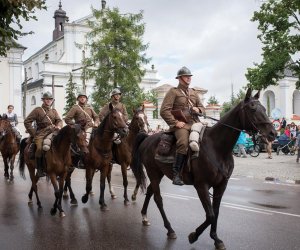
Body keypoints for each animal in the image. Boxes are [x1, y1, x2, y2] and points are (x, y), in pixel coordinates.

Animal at [131, 89, 276, 249]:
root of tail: (147, 138)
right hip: (153, 173)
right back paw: (169, 229)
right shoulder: (201, 186)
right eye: (252, 108)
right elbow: (210, 215)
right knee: (158, 199)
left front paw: (216, 239)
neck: (217, 148)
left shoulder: (221, 185)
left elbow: (216, 212)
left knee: (150, 191)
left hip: (159, 174)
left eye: (264, 108)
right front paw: (194, 236)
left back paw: (144, 216)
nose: (273, 133)